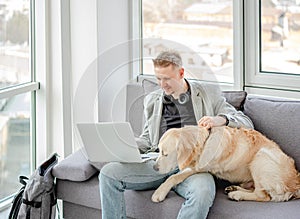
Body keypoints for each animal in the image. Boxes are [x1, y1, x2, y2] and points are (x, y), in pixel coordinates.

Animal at [152, 126, 300, 203]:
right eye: (158, 150)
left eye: (165, 154)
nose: (154, 168)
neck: (204, 141)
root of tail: (296, 183)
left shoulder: (198, 167)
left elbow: (174, 177)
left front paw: (159, 192)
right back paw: (234, 189)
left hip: (260, 158)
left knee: (263, 196)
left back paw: (237, 195)